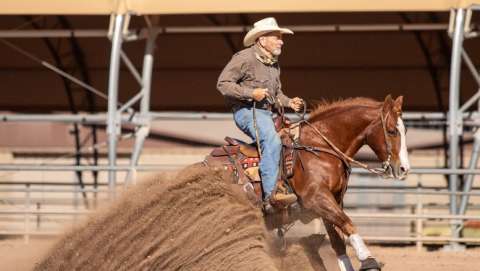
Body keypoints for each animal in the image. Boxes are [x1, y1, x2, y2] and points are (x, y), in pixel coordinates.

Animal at [202, 94, 408, 270]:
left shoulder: (332, 201)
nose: (404, 169)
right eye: (391, 131)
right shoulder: (316, 198)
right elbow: (348, 223)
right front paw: (369, 261)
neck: (319, 147)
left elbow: (338, 241)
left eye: (405, 130)